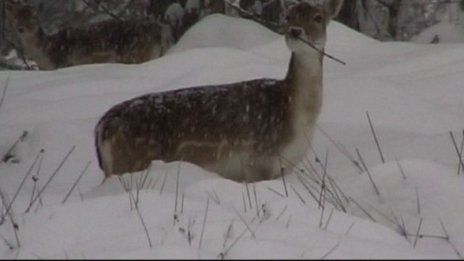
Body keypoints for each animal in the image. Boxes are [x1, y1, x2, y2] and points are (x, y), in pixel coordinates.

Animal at [6, 1, 167, 70]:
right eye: (15, 17)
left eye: (32, 18)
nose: (20, 29)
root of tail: (158, 32)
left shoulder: (64, 63)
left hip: (135, 55)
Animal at [93, 0, 344, 183]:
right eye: (288, 16)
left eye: (318, 17)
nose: (295, 31)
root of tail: (102, 127)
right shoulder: (258, 162)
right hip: (131, 162)